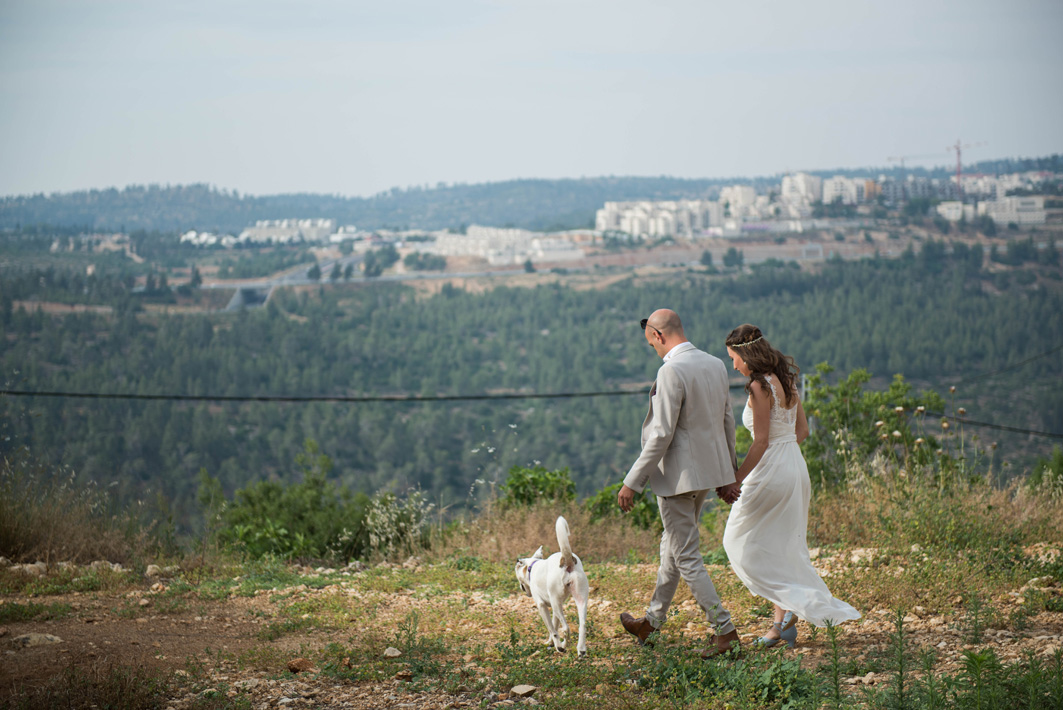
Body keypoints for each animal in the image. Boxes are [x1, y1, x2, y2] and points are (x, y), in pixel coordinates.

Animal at [514, 516, 591, 654]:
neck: (533, 566)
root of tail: (567, 559)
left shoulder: (542, 606)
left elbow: (552, 629)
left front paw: (557, 645)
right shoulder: (555, 609)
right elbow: (554, 627)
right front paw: (550, 642)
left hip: (556, 603)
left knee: (566, 628)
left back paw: (563, 647)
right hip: (579, 599)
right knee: (582, 625)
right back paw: (581, 650)